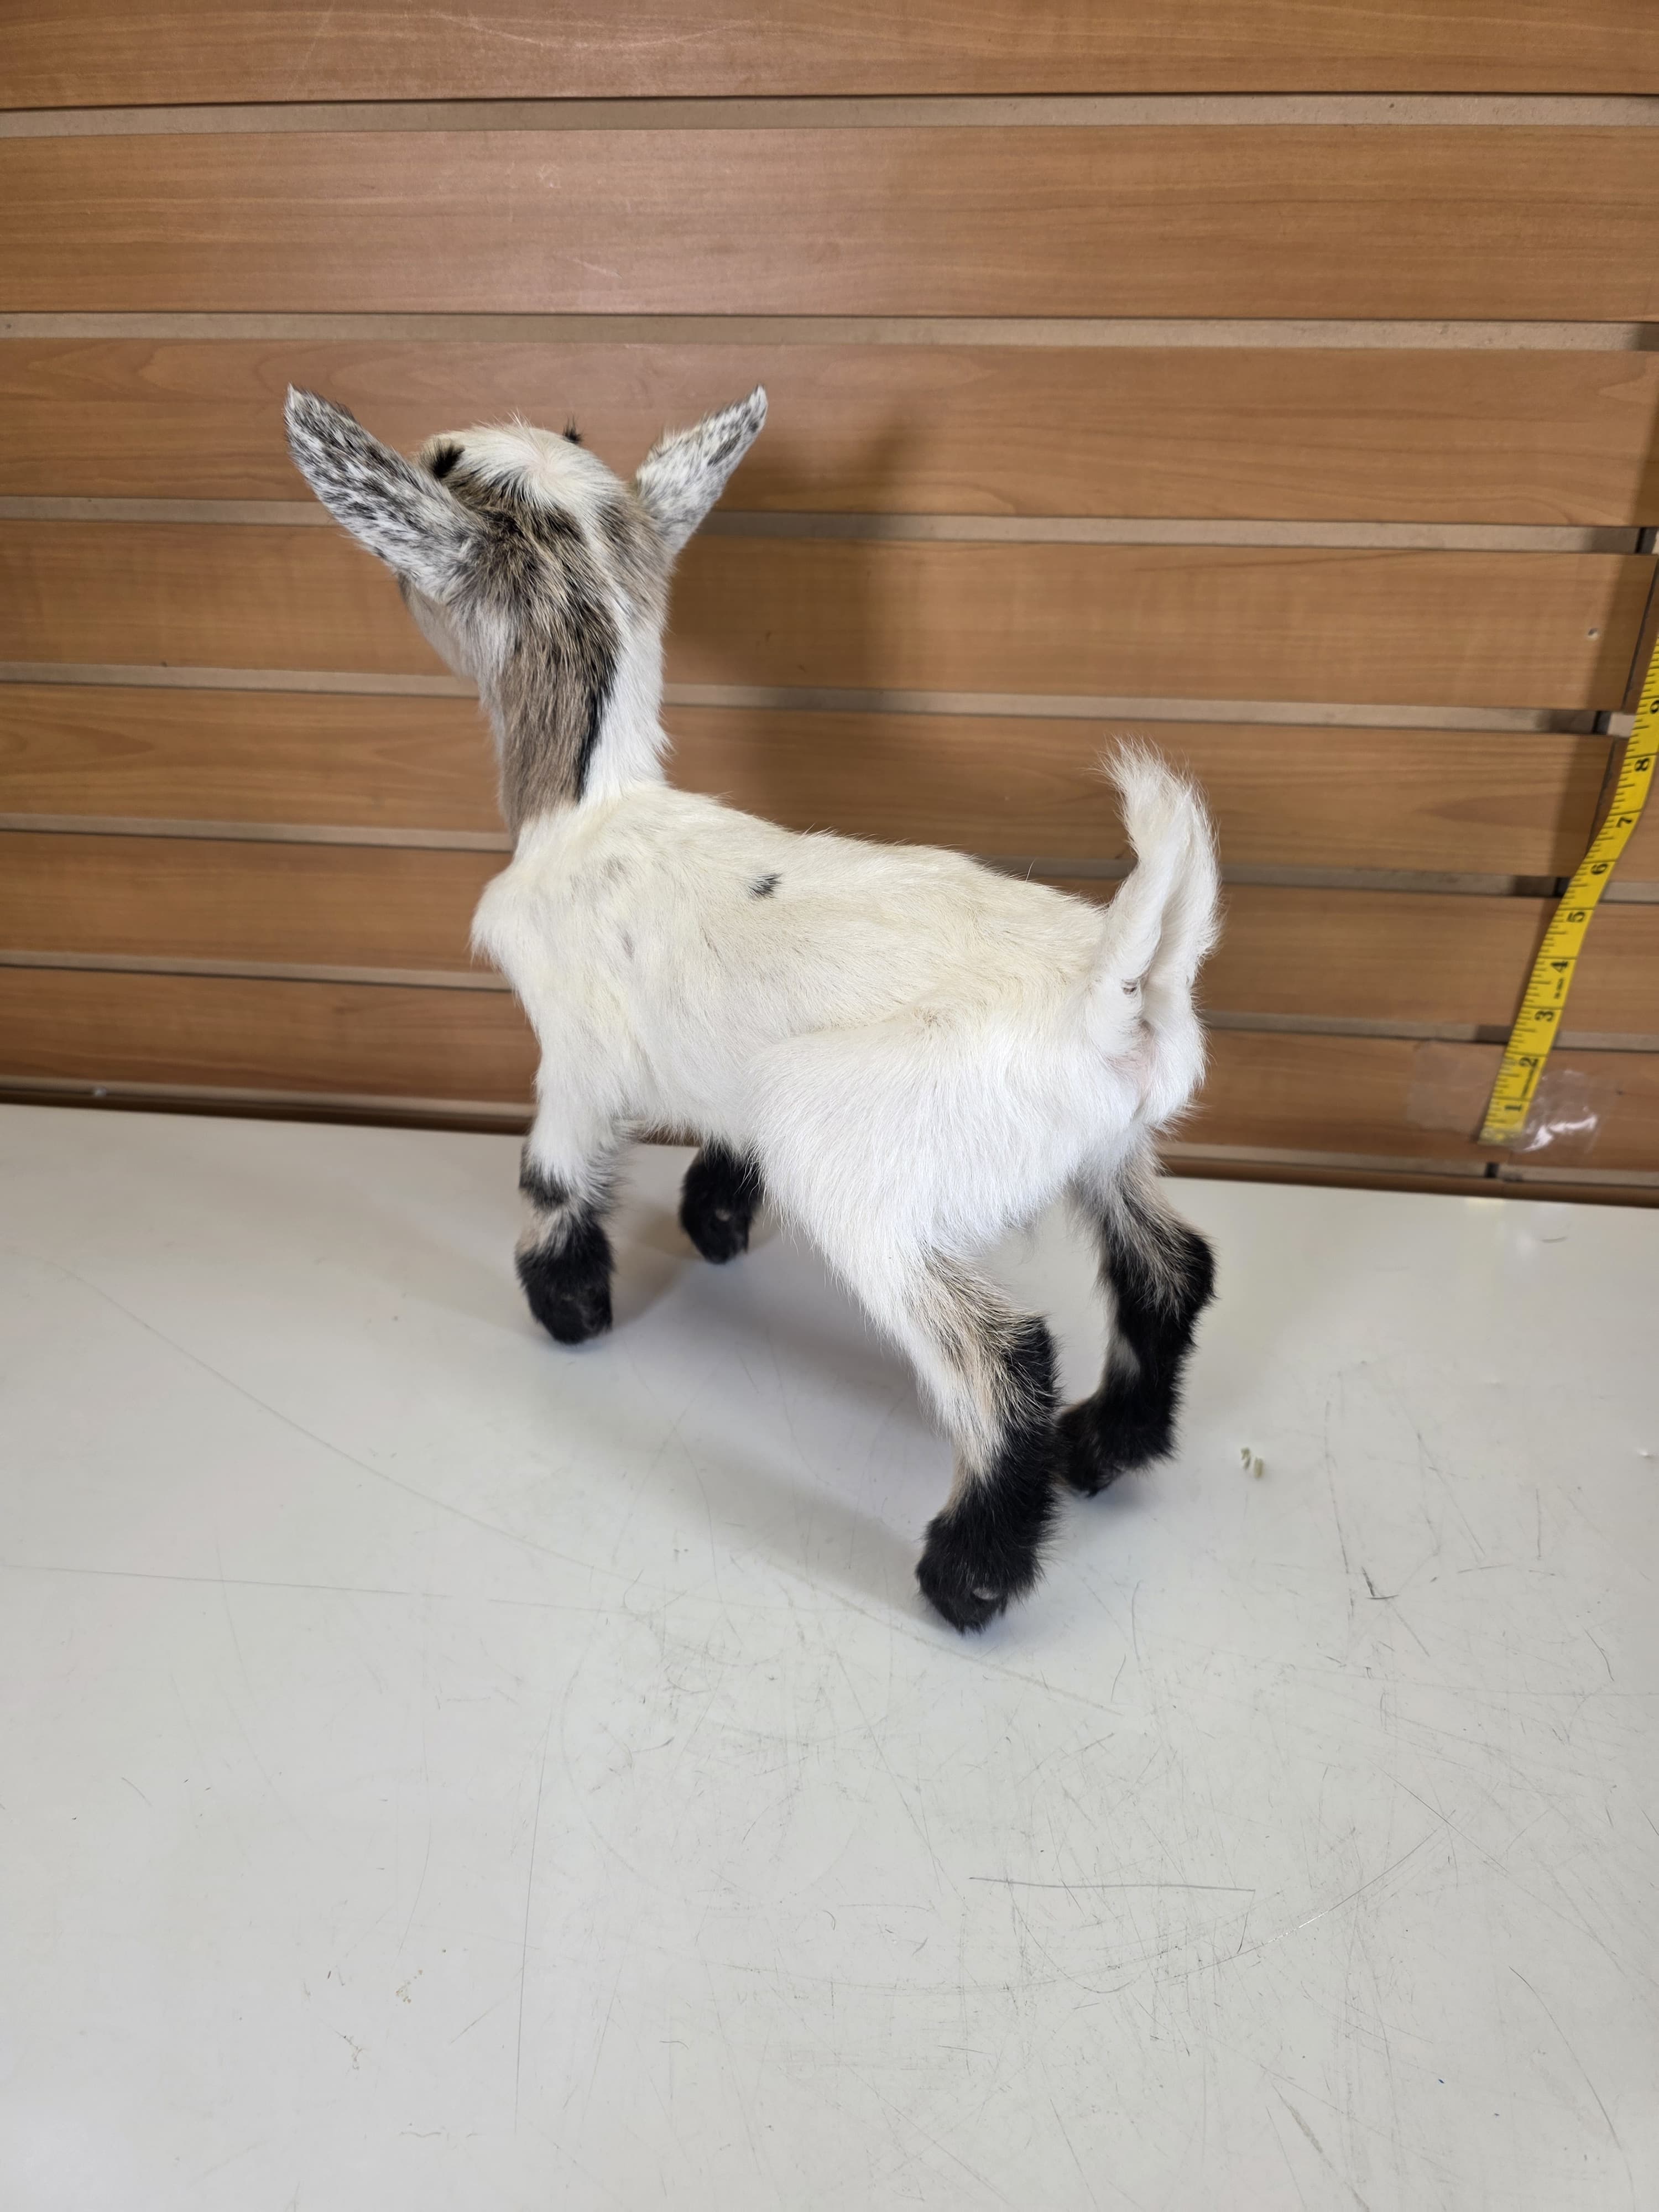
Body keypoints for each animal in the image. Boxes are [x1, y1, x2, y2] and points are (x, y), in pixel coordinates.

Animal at [284, 385, 1219, 1632]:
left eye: (441, 465)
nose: (435, 440)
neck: (590, 800)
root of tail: (1114, 990)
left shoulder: (575, 1056)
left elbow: (552, 1172)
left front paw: (568, 1304)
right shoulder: (719, 1063)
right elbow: (719, 1140)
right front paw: (715, 1221)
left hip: (857, 1163)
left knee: (1003, 1353)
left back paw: (968, 1571)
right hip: (1107, 1153)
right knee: (1172, 1268)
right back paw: (1108, 1447)